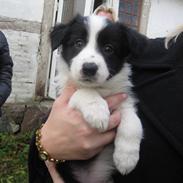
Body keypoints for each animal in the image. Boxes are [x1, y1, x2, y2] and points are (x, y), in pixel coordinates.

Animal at [29, 14, 148, 183]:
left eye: (108, 49)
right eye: (78, 43)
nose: (89, 68)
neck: (99, 88)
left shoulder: (123, 100)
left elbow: (134, 124)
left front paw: (126, 159)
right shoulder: (65, 95)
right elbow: (84, 92)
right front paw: (98, 114)